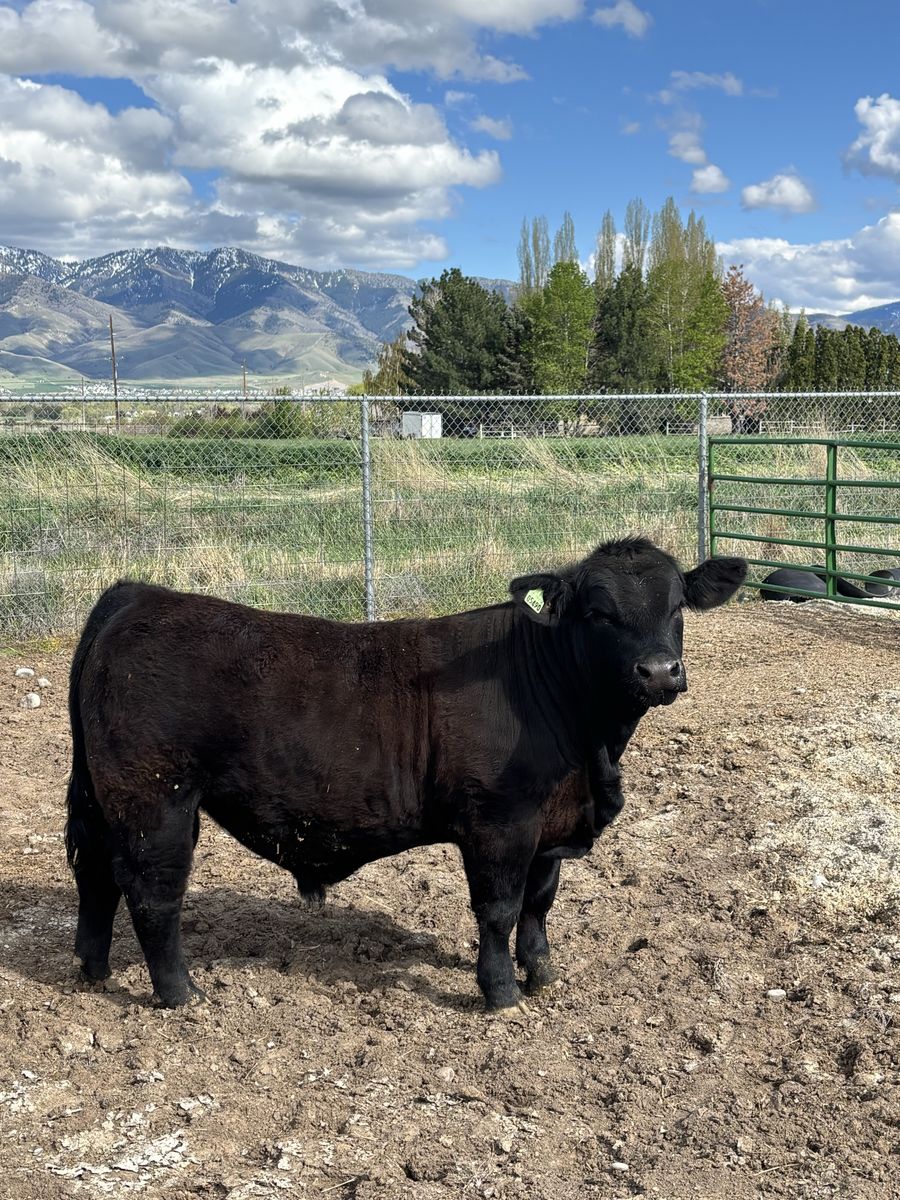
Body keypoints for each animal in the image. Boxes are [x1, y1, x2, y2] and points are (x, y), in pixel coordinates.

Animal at [65, 538, 746, 1015]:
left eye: (677, 606)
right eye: (599, 612)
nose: (658, 671)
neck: (590, 744)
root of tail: (138, 595)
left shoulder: (550, 828)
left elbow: (539, 903)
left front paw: (543, 972)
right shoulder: (499, 823)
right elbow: (499, 908)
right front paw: (501, 992)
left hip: (104, 798)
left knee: (95, 875)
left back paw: (94, 969)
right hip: (156, 800)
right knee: (153, 892)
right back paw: (181, 993)